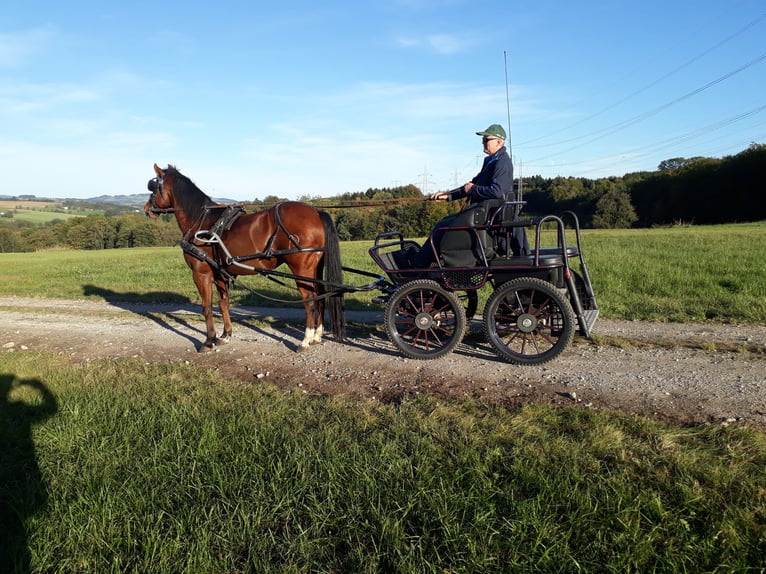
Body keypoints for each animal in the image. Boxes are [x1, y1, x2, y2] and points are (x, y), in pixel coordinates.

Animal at [144, 163, 345, 351]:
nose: (146, 209)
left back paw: (305, 340)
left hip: (301, 268)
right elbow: (223, 303)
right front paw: (225, 335)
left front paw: (209, 340)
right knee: (321, 296)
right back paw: (317, 335)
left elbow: (207, 307)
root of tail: (316, 212)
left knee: (310, 300)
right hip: (315, 268)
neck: (201, 221)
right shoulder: (220, 273)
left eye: (152, 187)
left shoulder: (201, 273)